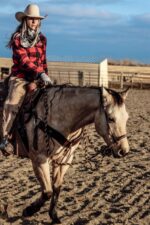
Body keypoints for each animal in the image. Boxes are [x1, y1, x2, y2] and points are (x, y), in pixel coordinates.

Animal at [9, 85, 130, 223]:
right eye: (111, 118)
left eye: (127, 118)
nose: (124, 151)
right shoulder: (39, 160)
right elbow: (47, 192)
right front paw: (28, 210)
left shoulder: (64, 159)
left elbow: (56, 187)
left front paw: (54, 216)